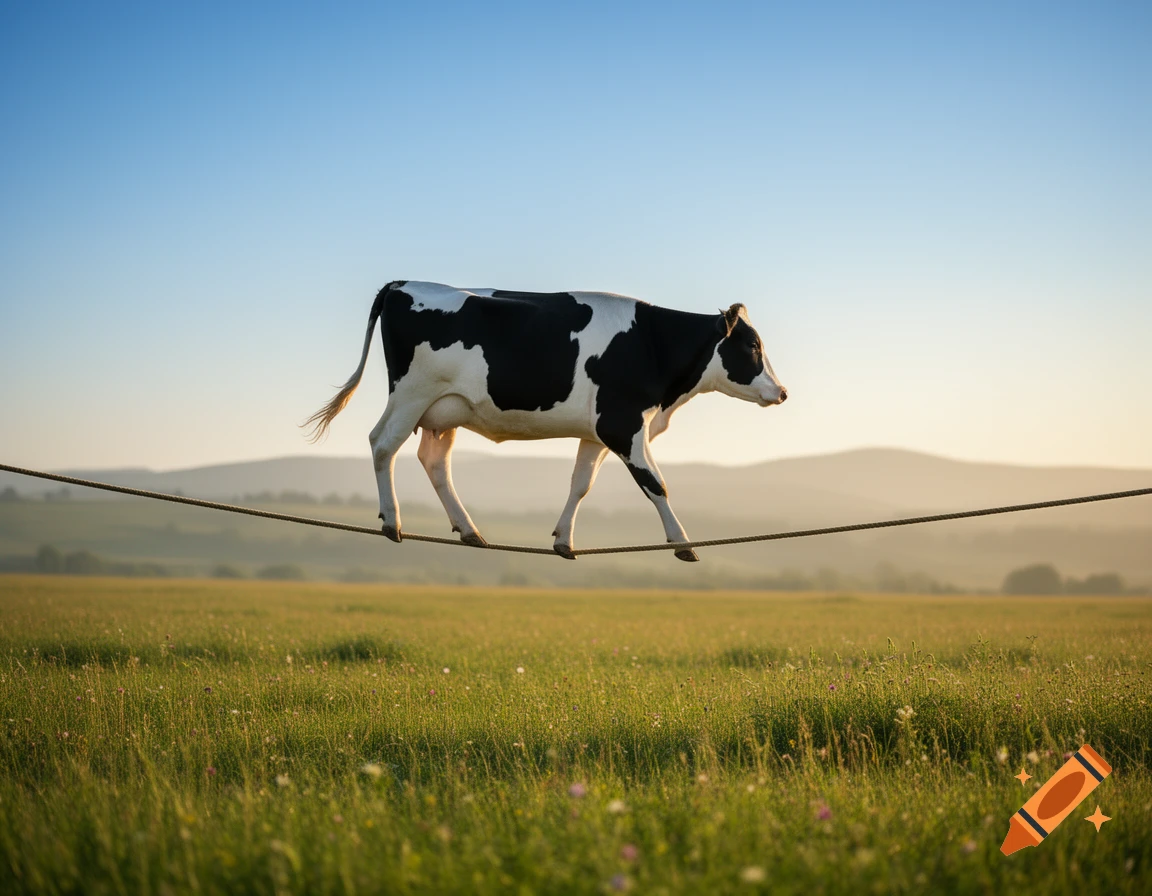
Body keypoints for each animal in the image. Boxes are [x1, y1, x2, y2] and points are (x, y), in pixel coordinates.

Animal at [305, 281, 787, 561]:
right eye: (752, 346)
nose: (782, 392)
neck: (653, 345)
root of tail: (404, 282)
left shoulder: (598, 432)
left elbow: (581, 484)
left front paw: (563, 540)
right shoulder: (623, 423)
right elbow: (656, 483)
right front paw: (683, 542)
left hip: (445, 408)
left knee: (434, 462)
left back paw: (469, 530)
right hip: (411, 393)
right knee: (383, 443)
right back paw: (392, 521)